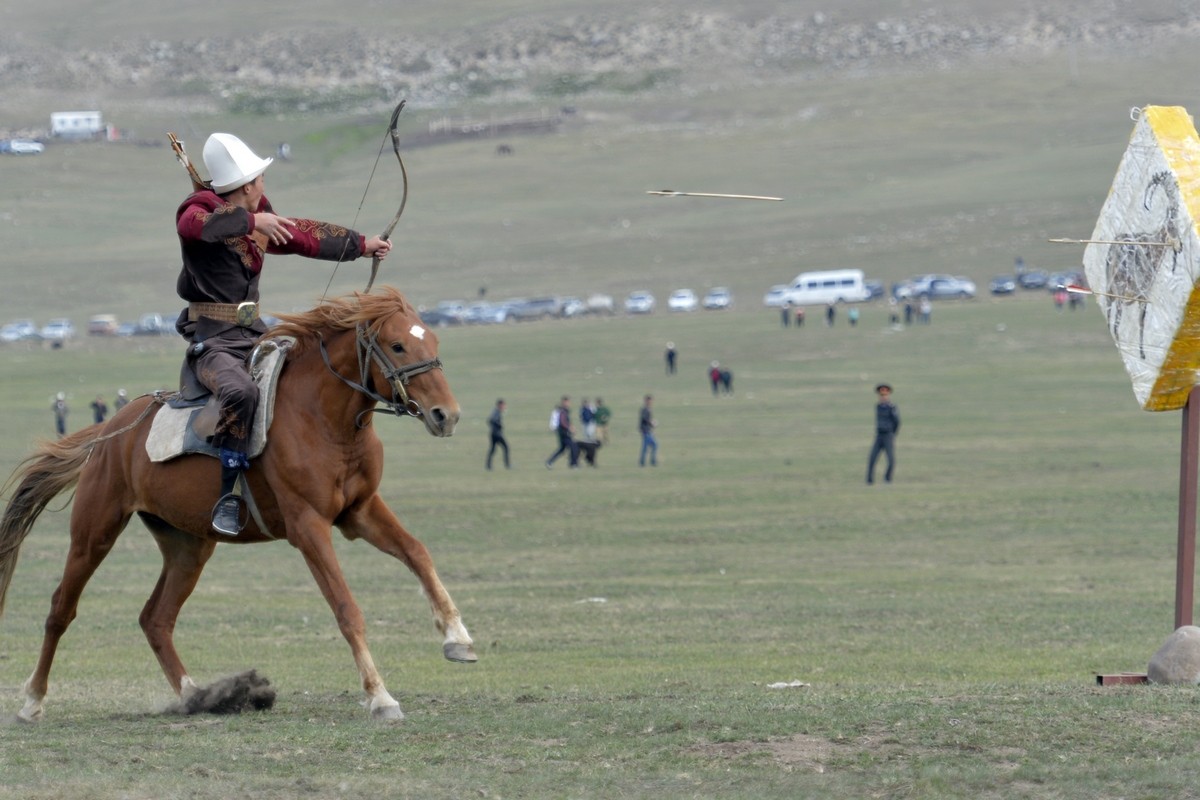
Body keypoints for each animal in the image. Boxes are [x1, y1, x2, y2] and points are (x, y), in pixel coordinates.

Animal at [0, 289, 477, 724]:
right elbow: (347, 609)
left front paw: (457, 638)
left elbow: (417, 552)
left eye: (432, 340)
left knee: (156, 618)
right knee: (61, 609)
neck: (323, 419)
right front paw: (380, 698)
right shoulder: (308, 527)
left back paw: (199, 696)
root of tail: (110, 431)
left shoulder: (359, 512)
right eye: (397, 346)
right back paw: (32, 701)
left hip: (188, 547)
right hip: (94, 533)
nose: (447, 415)